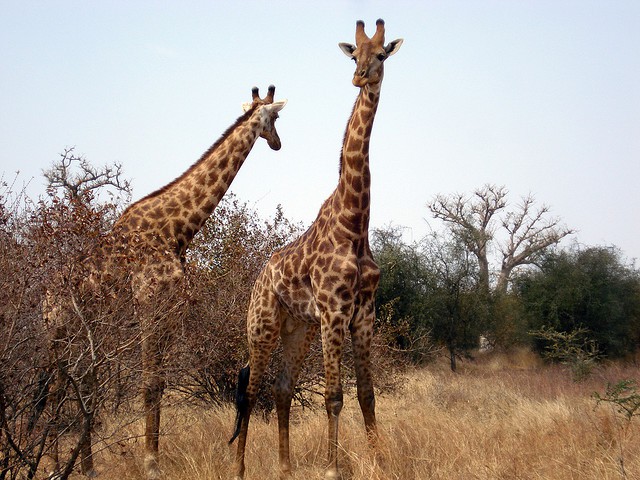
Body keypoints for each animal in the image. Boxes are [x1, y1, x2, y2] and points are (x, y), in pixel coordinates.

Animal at [42, 86, 288, 480]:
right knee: (55, 388)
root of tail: (45, 293)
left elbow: (159, 383)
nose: (278, 144)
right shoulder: (150, 304)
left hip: (86, 330)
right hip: (58, 329)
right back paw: (52, 465)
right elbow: (149, 383)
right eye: (276, 118)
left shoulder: (170, 311)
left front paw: (152, 457)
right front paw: (151, 463)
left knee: (79, 384)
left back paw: (87, 467)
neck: (174, 231)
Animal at [229, 19, 400, 480]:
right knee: (251, 389)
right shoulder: (334, 311)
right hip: (262, 325)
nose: (359, 77)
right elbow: (334, 396)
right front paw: (332, 468)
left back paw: (286, 467)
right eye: (354, 53)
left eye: (381, 54)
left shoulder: (363, 314)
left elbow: (367, 395)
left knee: (282, 389)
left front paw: (380, 462)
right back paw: (239, 468)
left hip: (297, 328)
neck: (355, 222)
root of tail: (258, 278)